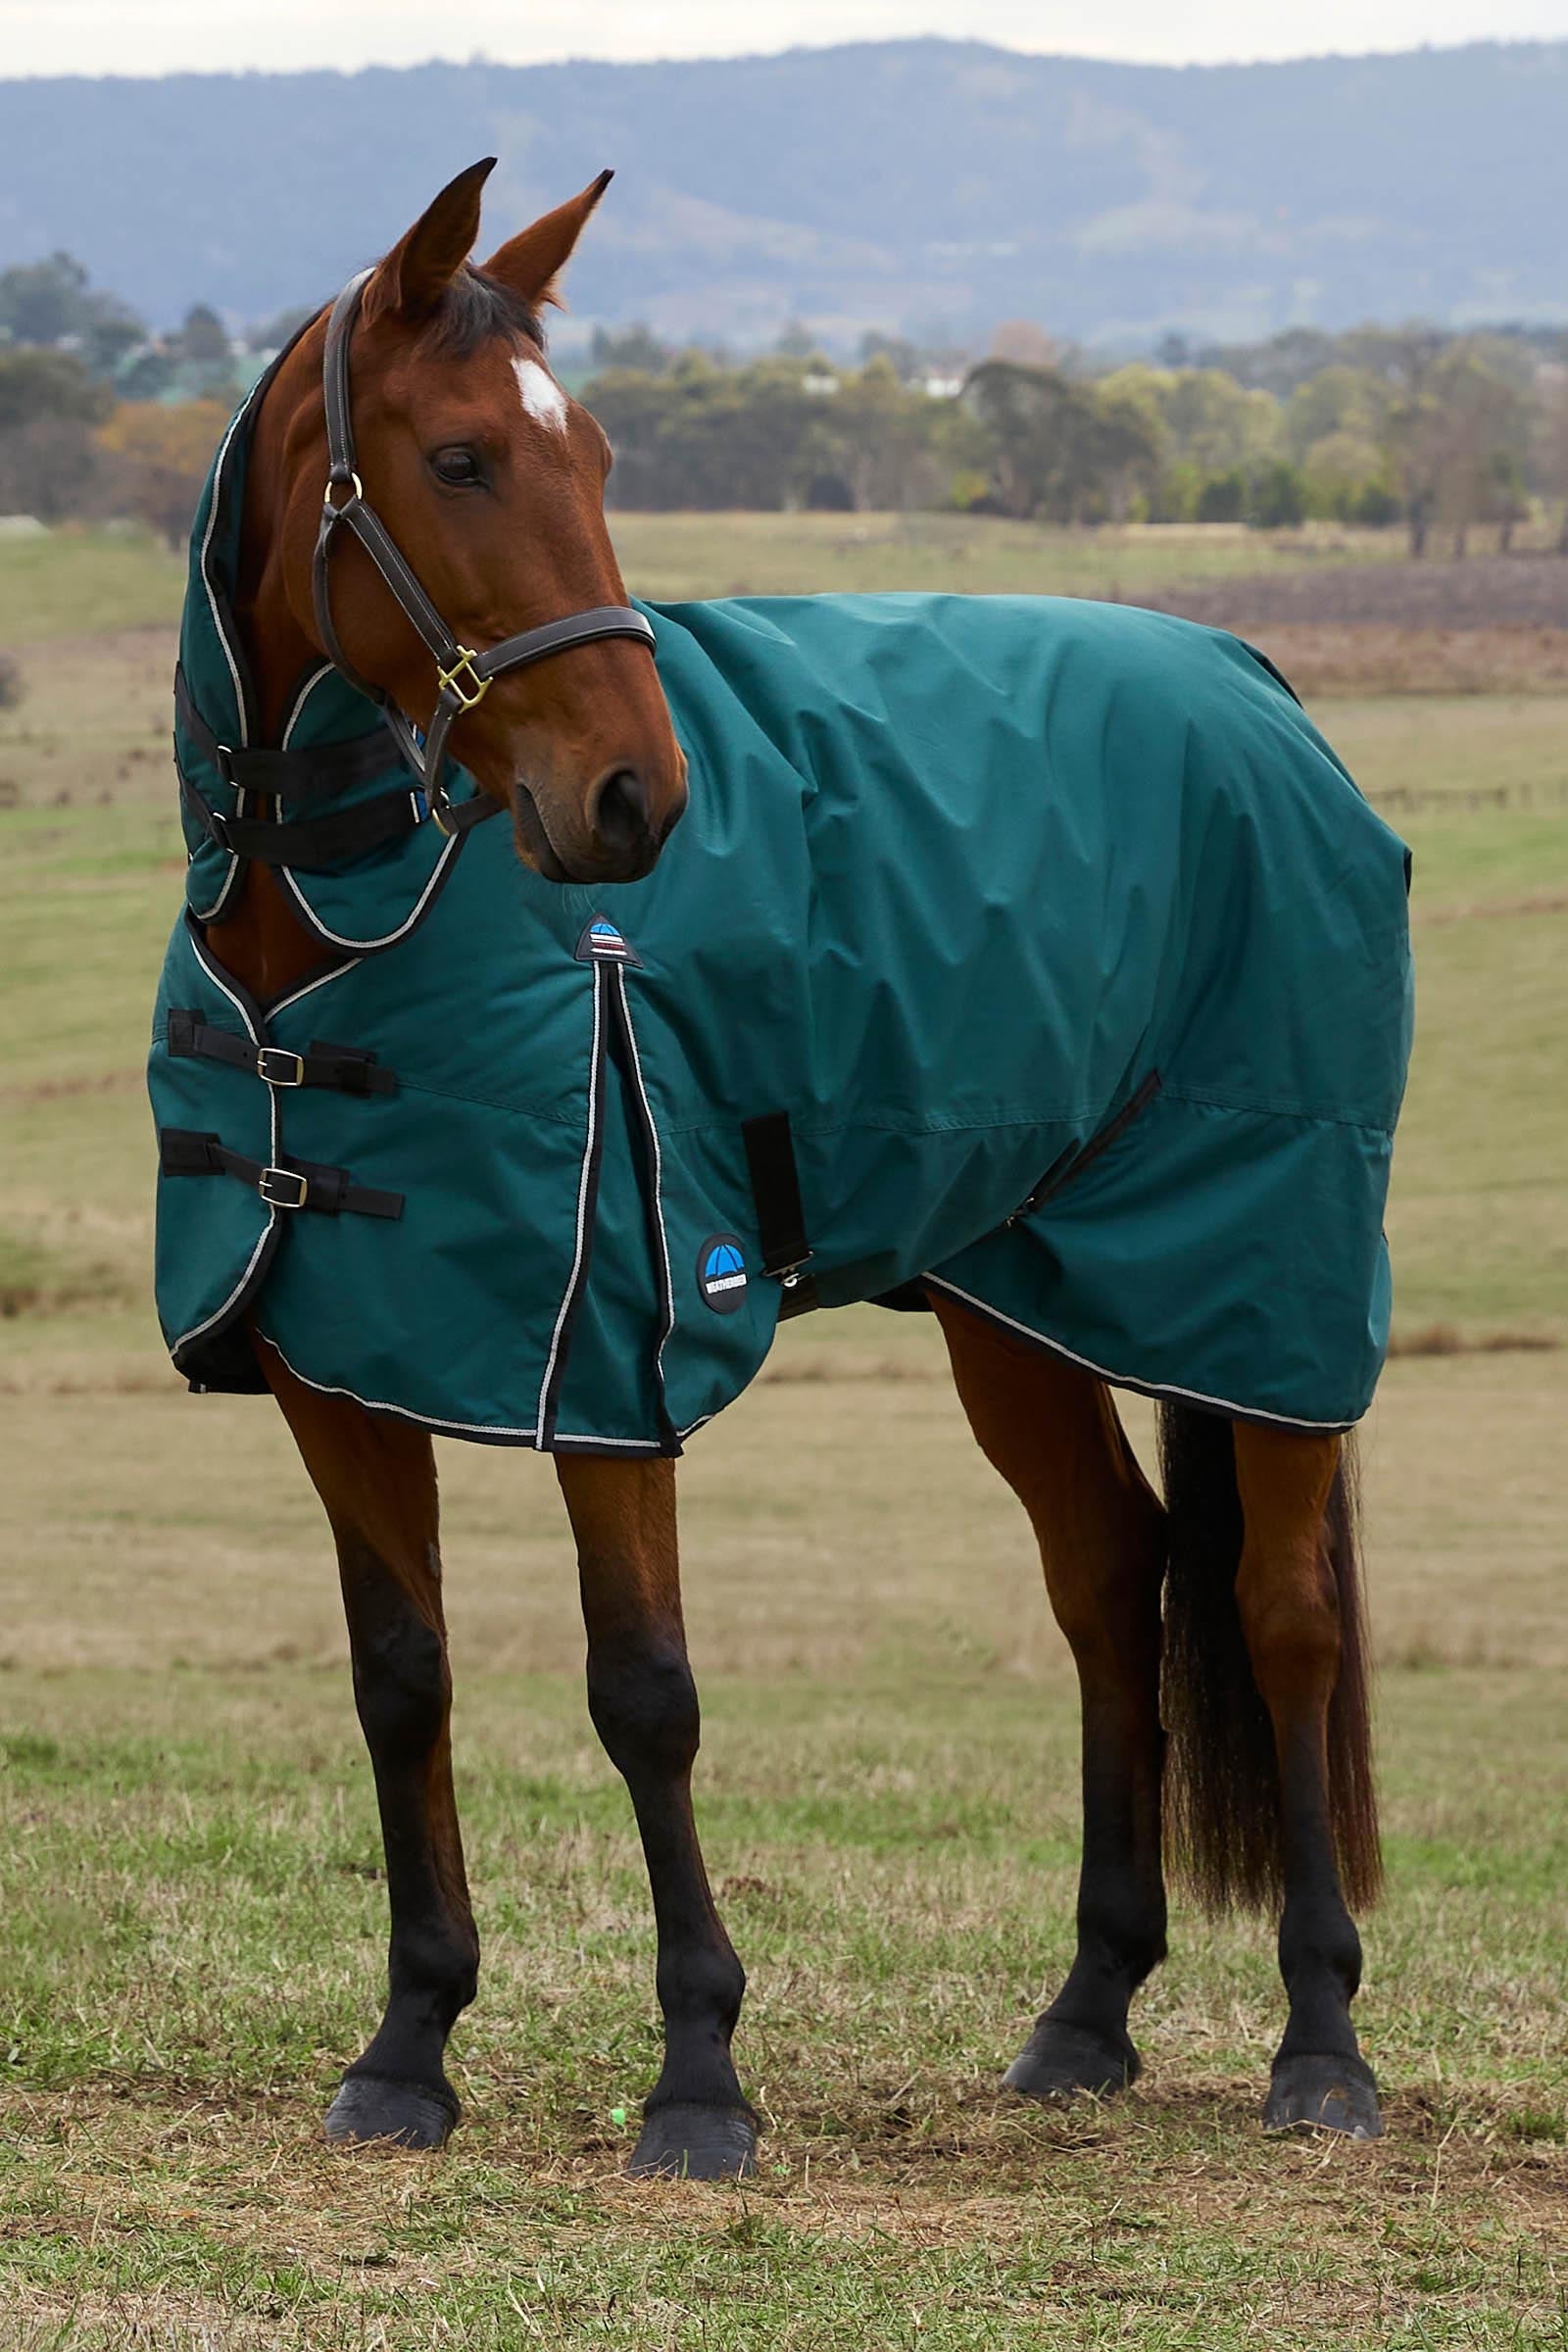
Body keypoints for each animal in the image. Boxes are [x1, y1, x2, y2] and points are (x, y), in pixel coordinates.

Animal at [163, 159, 1397, 2179]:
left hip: (1260, 1285)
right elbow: (400, 1679)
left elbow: (644, 1695)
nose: (637, 802)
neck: (337, 929)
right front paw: (410, 2045)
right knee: (1110, 1580)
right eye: (459, 459)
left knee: (1282, 1618)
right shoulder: (338, 1362)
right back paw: (1086, 2014)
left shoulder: (611, 1355)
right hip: (1021, 1301)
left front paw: (697, 2078)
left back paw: (1322, 2046)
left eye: (595, 453)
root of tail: (1256, 683)